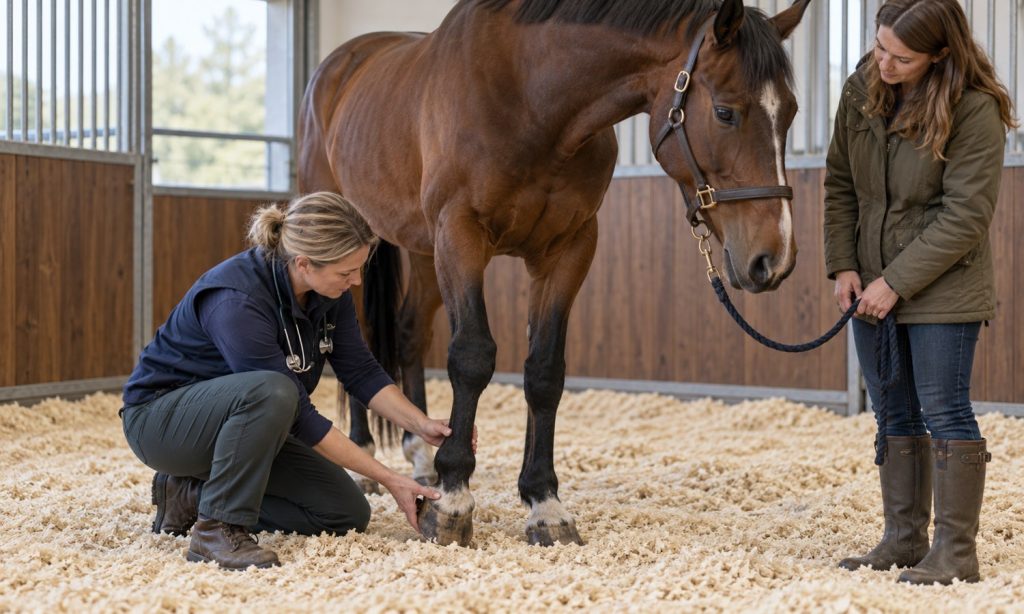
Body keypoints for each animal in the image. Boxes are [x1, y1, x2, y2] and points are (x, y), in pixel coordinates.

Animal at [298, 0, 812, 547]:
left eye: (790, 113)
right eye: (725, 112)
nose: (774, 257)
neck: (531, 96)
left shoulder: (568, 249)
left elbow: (544, 371)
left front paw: (544, 505)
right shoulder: (460, 234)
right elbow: (472, 357)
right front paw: (453, 501)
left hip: (422, 251)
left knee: (409, 333)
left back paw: (420, 456)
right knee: (355, 338)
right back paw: (363, 456)